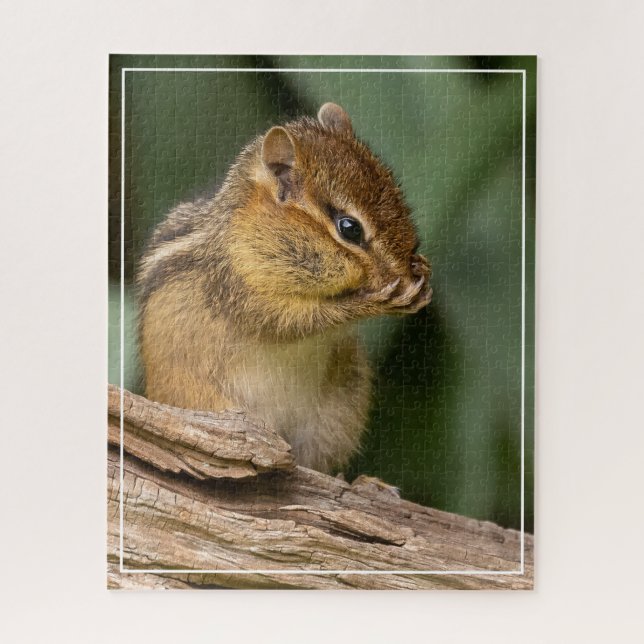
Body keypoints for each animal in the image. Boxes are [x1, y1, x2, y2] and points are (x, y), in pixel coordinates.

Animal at [137, 103, 432, 474]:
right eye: (349, 228)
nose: (404, 273)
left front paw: (423, 272)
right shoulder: (240, 288)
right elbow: (293, 321)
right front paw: (372, 301)